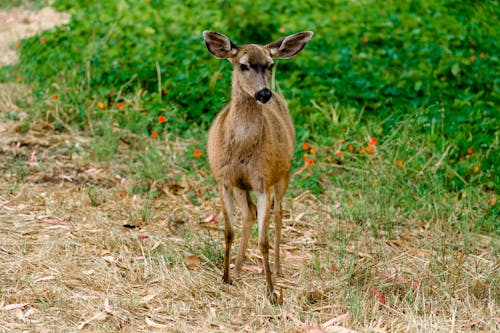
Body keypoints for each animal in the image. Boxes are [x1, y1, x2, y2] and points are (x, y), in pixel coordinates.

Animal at [202, 29, 312, 302]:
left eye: (271, 65)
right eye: (243, 65)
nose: (264, 94)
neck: (242, 150)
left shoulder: (262, 181)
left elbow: (263, 241)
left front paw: (271, 290)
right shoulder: (225, 181)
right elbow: (228, 232)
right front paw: (225, 277)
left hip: (283, 174)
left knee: (279, 213)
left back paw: (278, 268)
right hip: (243, 186)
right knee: (249, 214)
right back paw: (239, 268)